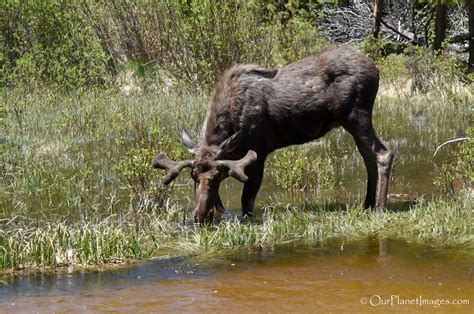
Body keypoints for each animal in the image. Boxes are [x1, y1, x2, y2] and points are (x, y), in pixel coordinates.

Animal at [154, 46, 394, 223]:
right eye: (193, 176)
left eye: (217, 177)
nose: (200, 216)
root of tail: (377, 70)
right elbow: (223, 204)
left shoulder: (259, 151)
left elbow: (247, 201)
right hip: (351, 123)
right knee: (368, 158)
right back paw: (367, 204)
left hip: (356, 116)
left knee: (384, 153)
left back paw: (380, 208)